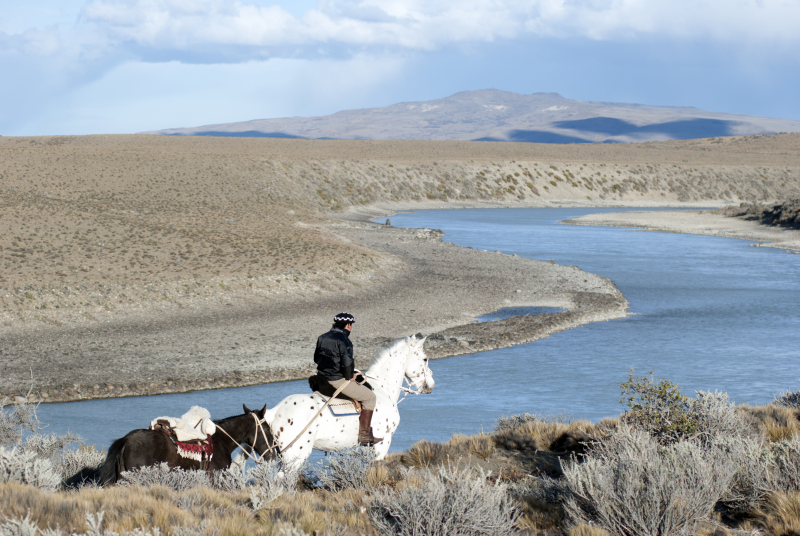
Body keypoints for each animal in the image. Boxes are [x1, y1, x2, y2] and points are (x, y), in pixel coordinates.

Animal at [266, 338, 434, 472]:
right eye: (425, 359)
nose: (431, 385)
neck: (382, 389)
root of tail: (275, 411)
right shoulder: (383, 441)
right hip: (295, 456)